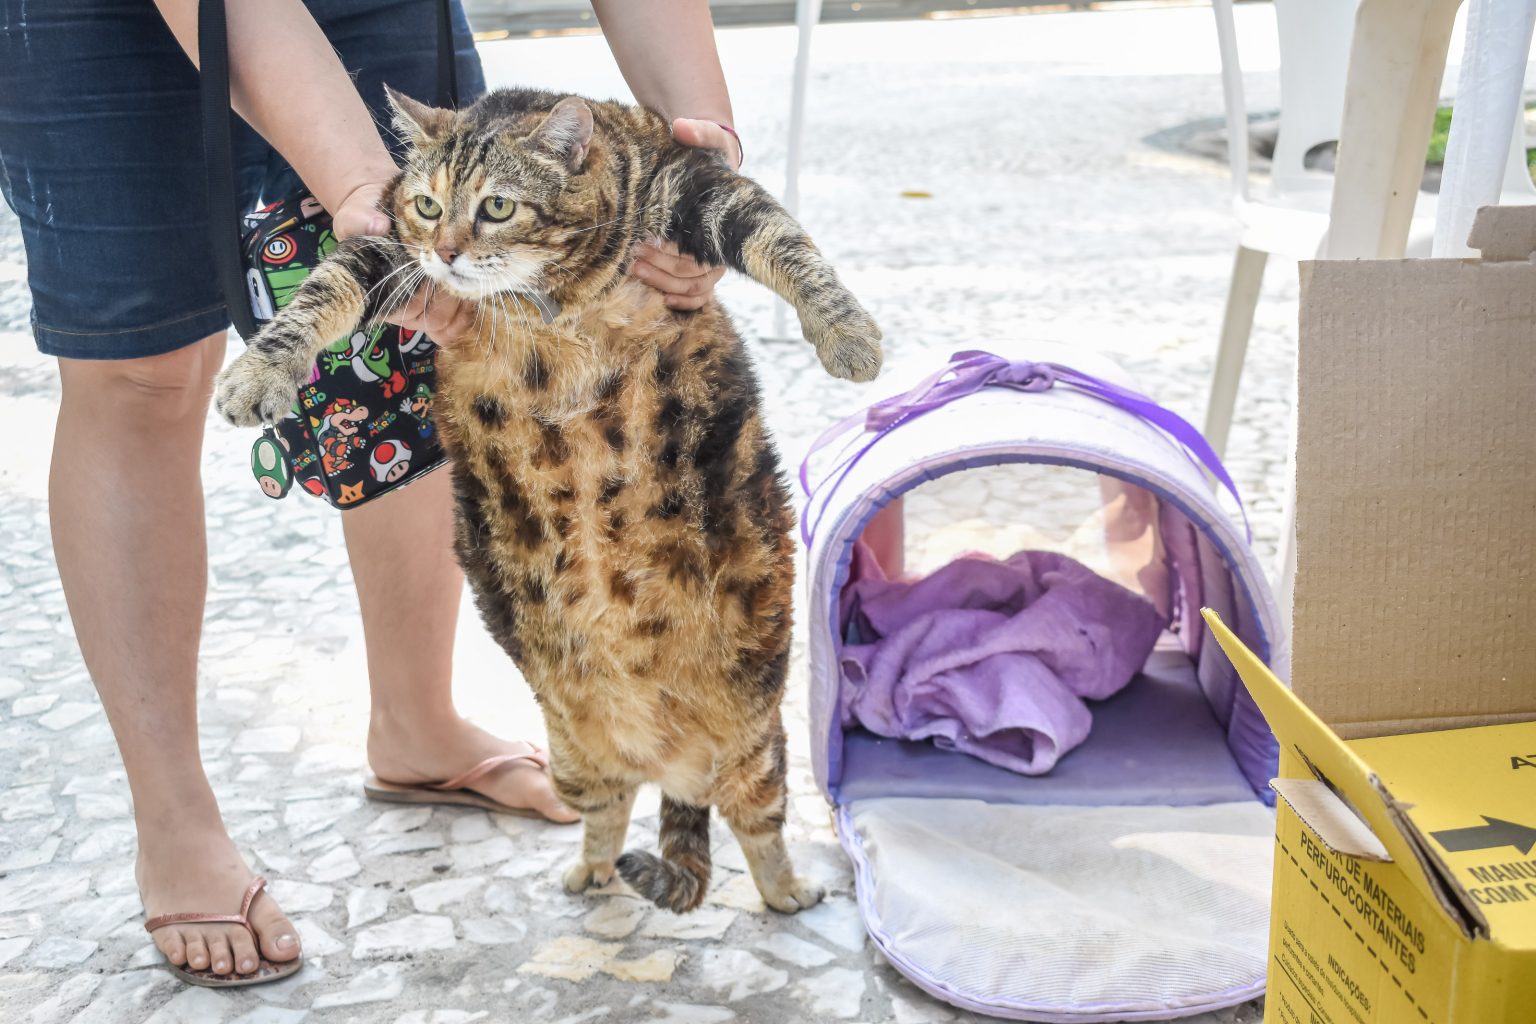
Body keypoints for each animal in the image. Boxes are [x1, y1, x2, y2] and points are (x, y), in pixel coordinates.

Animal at [221, 88, 884, 914]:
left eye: (498, 207)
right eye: (427, 205)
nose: (448, 252)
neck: (551, 291)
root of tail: (672, 763)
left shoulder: (693, 182)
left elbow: (785, 240)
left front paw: (846, 331)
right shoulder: (385, 252)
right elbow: (319, 293)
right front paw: (258, 371)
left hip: (759, 745)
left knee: (758, 827)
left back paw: (787, 889)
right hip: (573, 754)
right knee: (612, 808)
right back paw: (592, 871)